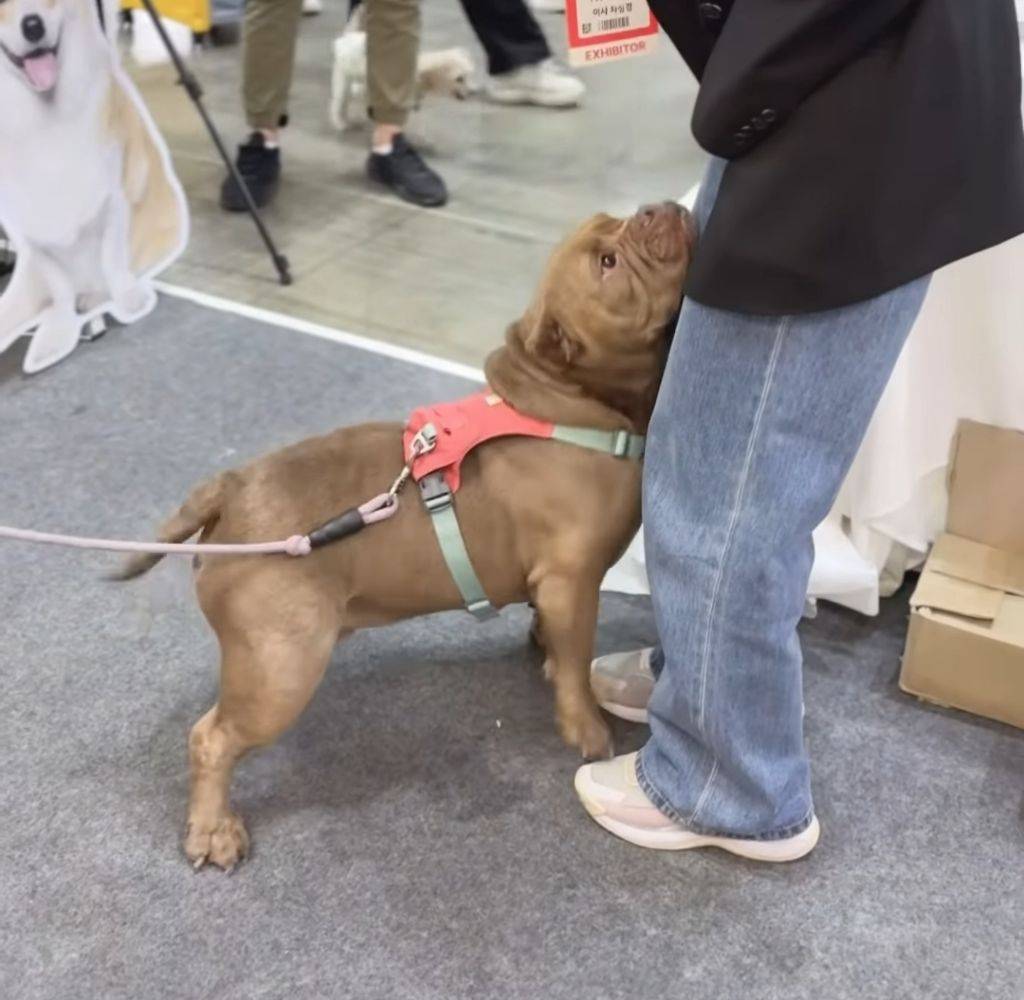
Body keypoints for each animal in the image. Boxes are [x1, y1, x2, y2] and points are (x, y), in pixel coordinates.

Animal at [121, 202, 696, 867]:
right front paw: (585, 727)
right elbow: (576, 663)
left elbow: (556, 642)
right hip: (281, 668)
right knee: (210, 738)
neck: (569, 402)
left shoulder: (551, 590)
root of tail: (230, 487)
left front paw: (543, 652)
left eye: (615, 219)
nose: (658, 208)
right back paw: (213, 827)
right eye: (607, 262)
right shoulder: (570, 583)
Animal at [327, 30, 475, 130]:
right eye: (459, 79)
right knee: (338, 102)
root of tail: (343, 41)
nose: (469, 94)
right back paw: (339, 123)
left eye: (469, 76)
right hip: (344, 78)